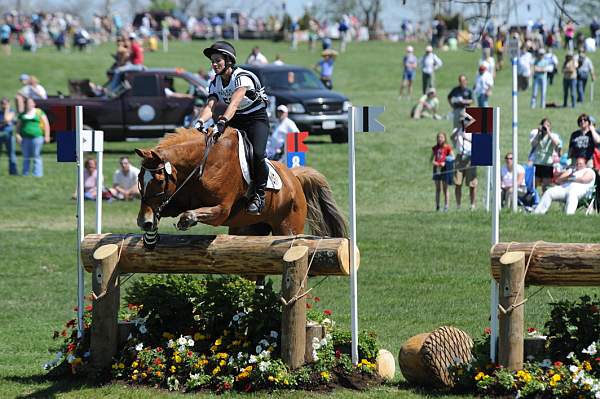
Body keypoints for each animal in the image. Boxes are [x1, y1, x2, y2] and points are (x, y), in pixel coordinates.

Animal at [133, 126, 344, 242]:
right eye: (140, 180)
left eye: (160, 181)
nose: (143, 222)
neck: (201, 165)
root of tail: (293, 177)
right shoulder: (178, 200)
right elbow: (171, 207)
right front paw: (152, 222)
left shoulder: (221, 211)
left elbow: (191, 213)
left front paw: (186, 221)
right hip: (250, 228)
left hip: (287, 227)